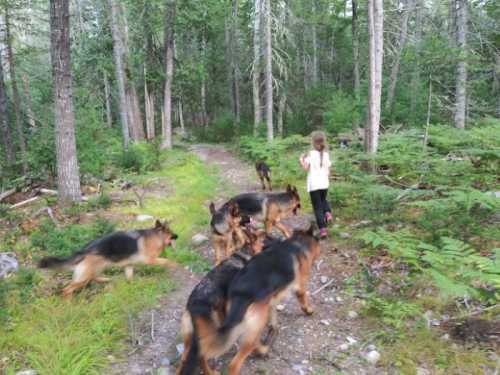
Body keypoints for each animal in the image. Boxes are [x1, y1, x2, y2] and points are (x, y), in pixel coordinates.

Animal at [38, 220, 178, 300]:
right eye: (171, 232)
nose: (177, 236)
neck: (155, 236)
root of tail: (85, 250)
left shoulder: (129, 266)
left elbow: (129, 279)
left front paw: (132, 287)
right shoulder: (150, 260)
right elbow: (167, 261)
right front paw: (175, 265)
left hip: (94, 270)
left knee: (93, 278)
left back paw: (106, 280)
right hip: (84, 277)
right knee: (66, 290)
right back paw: (68, 302)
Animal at [176, 226, 280, 375]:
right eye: (266, 237)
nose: (281, 239)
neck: (246, 252)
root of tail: (194, 304)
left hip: (192, 336)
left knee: (185, 357)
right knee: (202, 356)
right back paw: (211, 372)